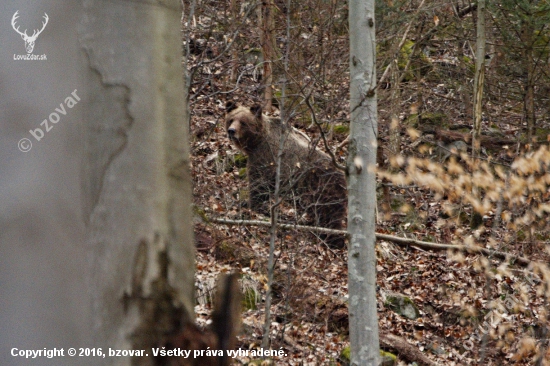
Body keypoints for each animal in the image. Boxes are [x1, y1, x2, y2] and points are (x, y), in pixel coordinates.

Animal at [225, 101, 348, 247]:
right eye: (231, 119)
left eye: (243, 122)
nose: (231, 131)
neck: (256, 141)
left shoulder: (264, 158)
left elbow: (259, 184)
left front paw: (250, 204)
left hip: (323, 186)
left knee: (329, 214)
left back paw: (332, 238)